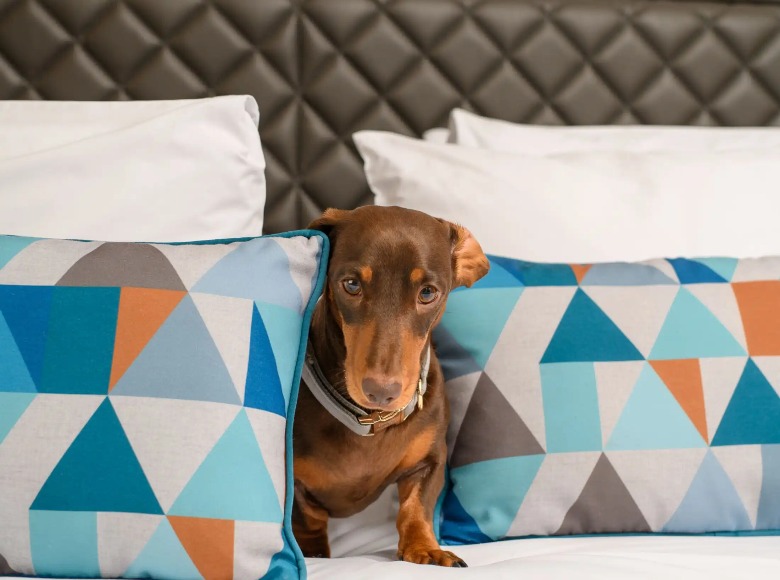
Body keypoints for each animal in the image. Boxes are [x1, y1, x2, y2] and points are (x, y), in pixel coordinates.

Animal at [292, 205, 488, 568]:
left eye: (427, 292)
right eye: (351, 284)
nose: (381, 391)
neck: (369, 421)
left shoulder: (429, 460)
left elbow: (416, 507)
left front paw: (425, 548)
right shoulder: (294, 484)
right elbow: (308, 520)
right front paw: (314, 554)